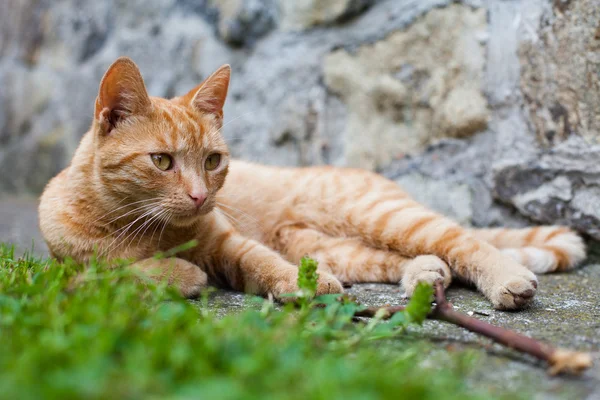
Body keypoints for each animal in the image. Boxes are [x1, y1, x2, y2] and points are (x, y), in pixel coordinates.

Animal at [38, 57, 584, 310]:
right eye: (162, 160)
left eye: (212, 160)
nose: (199, 195)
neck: (148, 229)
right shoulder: (64, 270)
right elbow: (116, 272)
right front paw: (180, 273)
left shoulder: (230, 244)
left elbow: (261, 261)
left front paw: (305, 286)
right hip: (331, 245)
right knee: (403, 258)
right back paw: (426, 276)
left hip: (380, 216)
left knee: (464, 242)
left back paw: (506, 279)